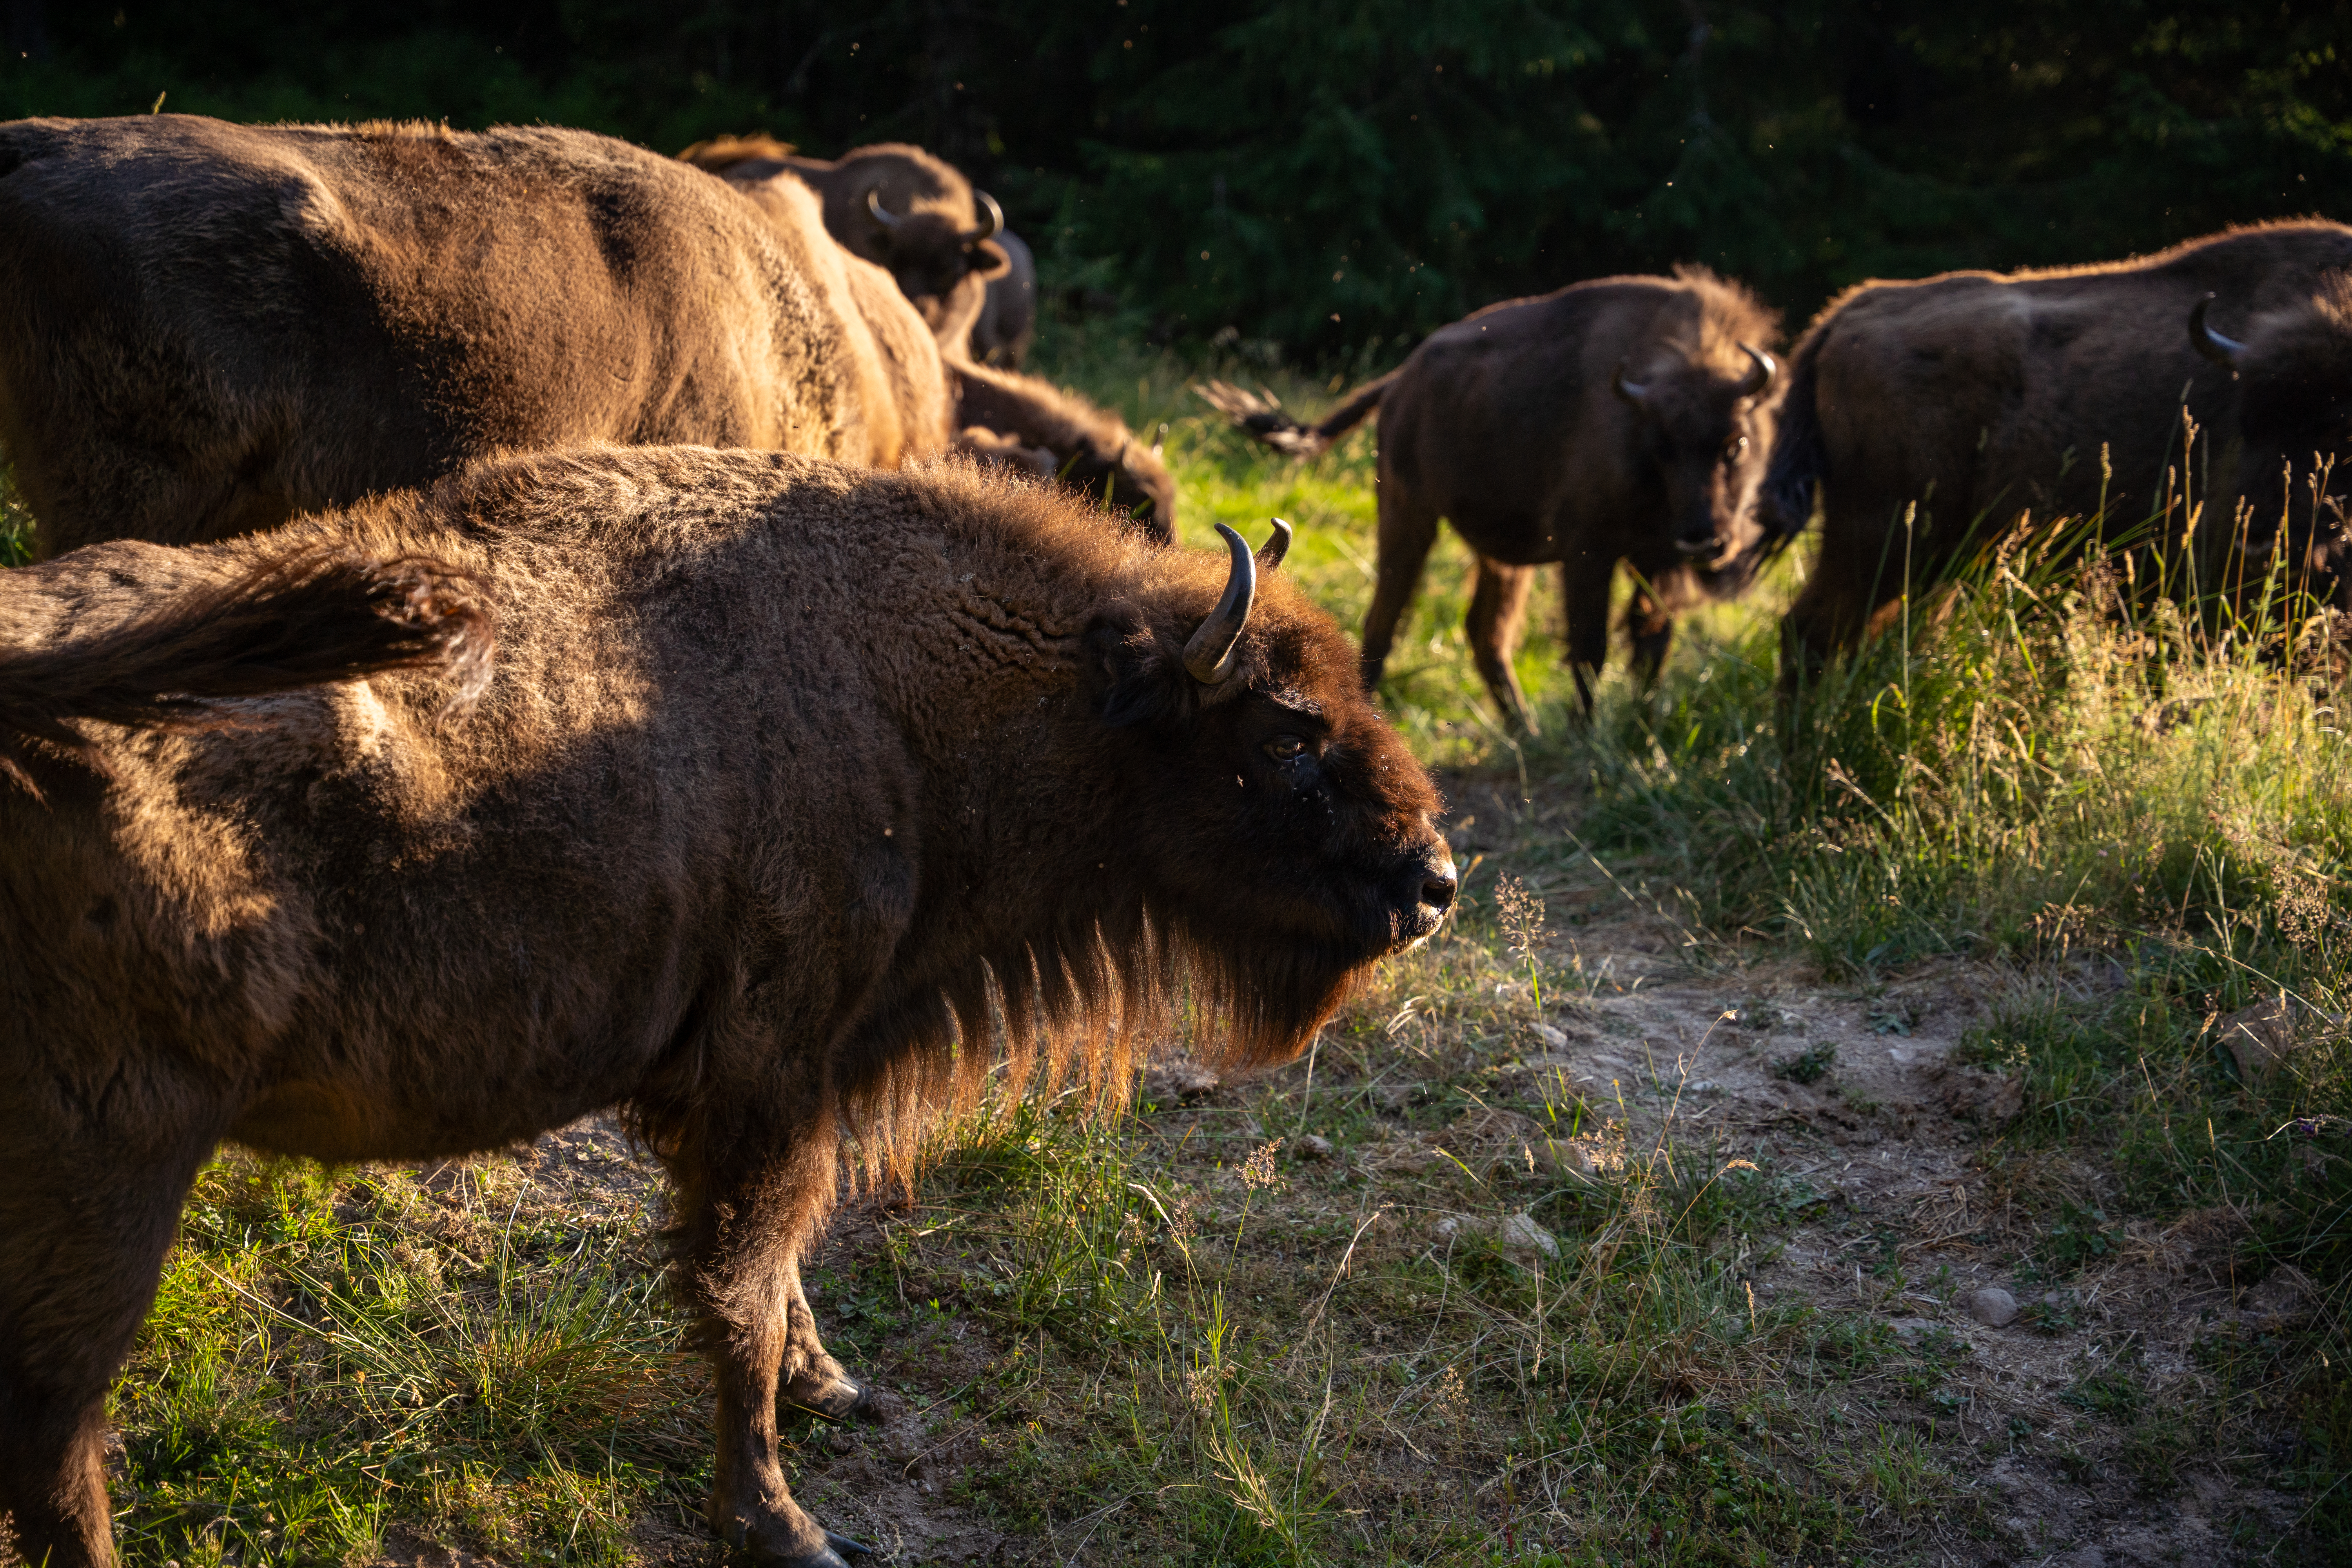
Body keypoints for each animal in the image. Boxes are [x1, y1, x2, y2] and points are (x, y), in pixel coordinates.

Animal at [0, 445, 1456, 1568]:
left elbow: (780, 1267)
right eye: (1286, 730)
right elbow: (740, 1291)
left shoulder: (789, 1075)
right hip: (117, 1166)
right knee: (58, 1420)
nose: (1433, 881)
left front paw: (831, 1389)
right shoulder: (767, 1069)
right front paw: (783, 1523)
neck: (909, 684)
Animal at [1202, 268, 1780, 729]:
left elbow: (1651, 639)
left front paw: (1642, 726)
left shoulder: (1656, 560)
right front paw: (1586, 733)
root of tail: (1400, 380)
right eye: (1661, 447)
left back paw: (1524, 728)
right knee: (1386, 618)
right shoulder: (1589, 554)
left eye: (1737, 443)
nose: (1706, 540)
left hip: (1499, 556)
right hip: (1409, 514)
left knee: (1485, 633)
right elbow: (1590, 646)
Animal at [1754, 220, 2352, 685]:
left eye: (2342, 428)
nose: (2264, 542)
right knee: (1809, 633)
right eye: (2249, 421)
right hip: (1883, 540)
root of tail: (1847, 313)